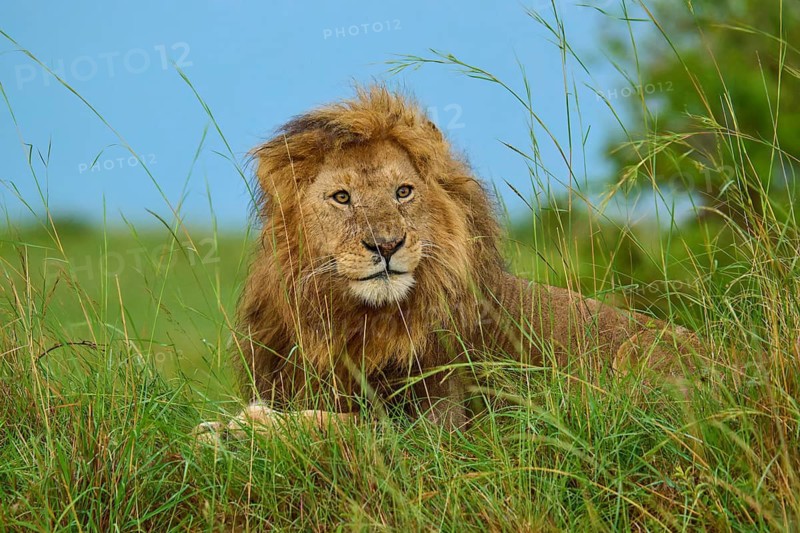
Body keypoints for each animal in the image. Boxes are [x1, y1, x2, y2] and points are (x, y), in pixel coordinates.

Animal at [195, 85, 701, 441]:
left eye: (403, 192)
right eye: (341, 198)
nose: (386, 245)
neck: (353, 321)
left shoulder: (441, 427)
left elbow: (351, 424)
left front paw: (251, 428)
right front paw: (222, 428)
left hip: (640, 353)